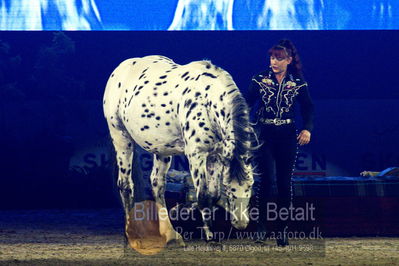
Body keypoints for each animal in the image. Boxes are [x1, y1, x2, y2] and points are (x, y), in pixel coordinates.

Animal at [104, 55, 256, 246]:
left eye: (251, 185)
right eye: (229, 188)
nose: (241, 223)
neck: (205, 101)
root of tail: (120, 69)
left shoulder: (216, 156)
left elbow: (213, 194)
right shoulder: (196, 155)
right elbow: (203, 196)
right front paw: (210, 237)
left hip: (161, 150)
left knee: (157, 184)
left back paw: (170, 234)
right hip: (121, 138)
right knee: (125, 185)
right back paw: (132, 233)